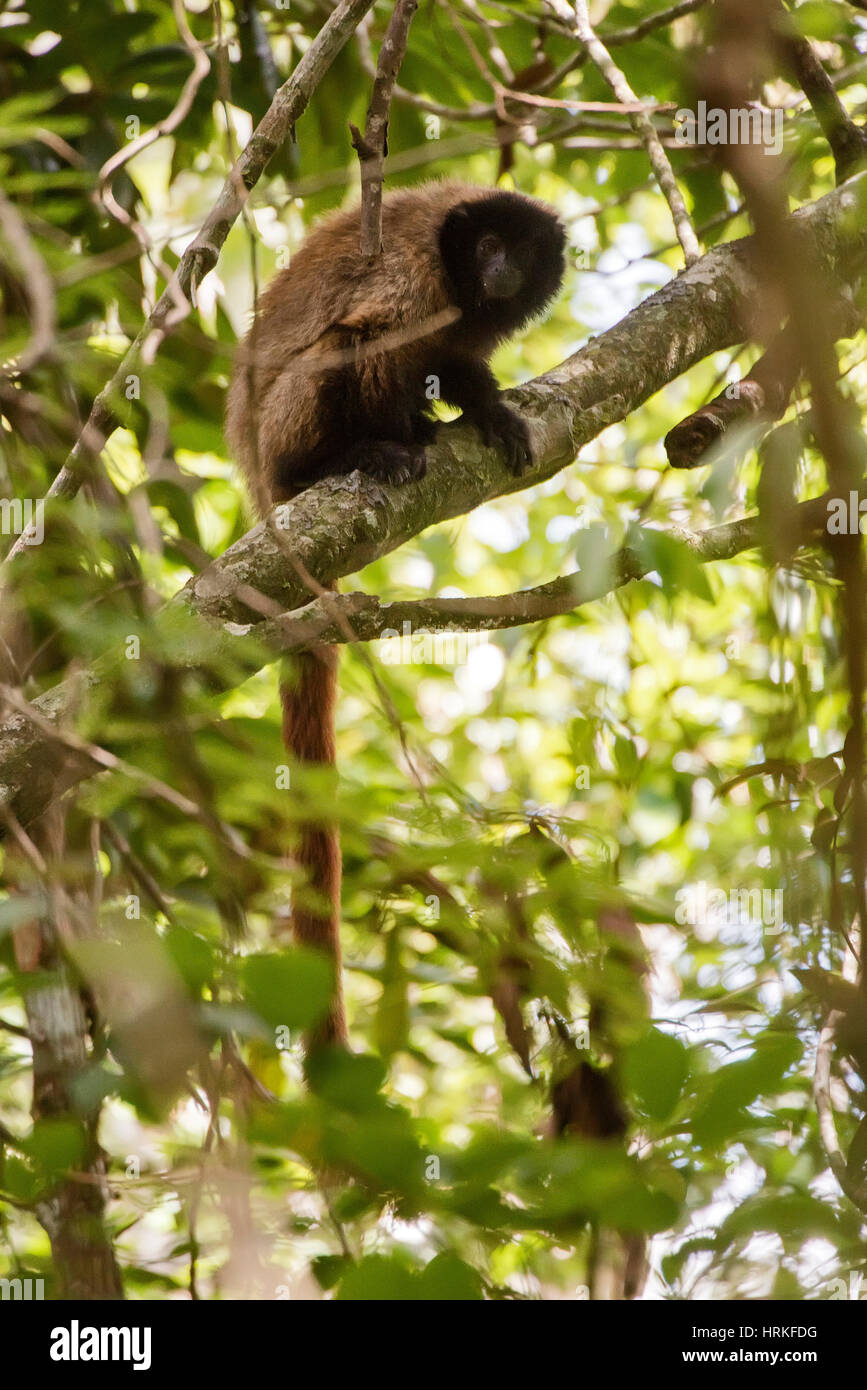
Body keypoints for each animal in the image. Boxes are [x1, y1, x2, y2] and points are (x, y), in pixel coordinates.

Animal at [226, 179, 566, 1050]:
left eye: (521, 251)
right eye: (487, 247)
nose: (502, 269)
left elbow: (457, 360)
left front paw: (487, 407)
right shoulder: (417, 275)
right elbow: (374, 335)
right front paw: (388, 440)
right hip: (282, 448)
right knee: (346, 348)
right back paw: (349, 457)